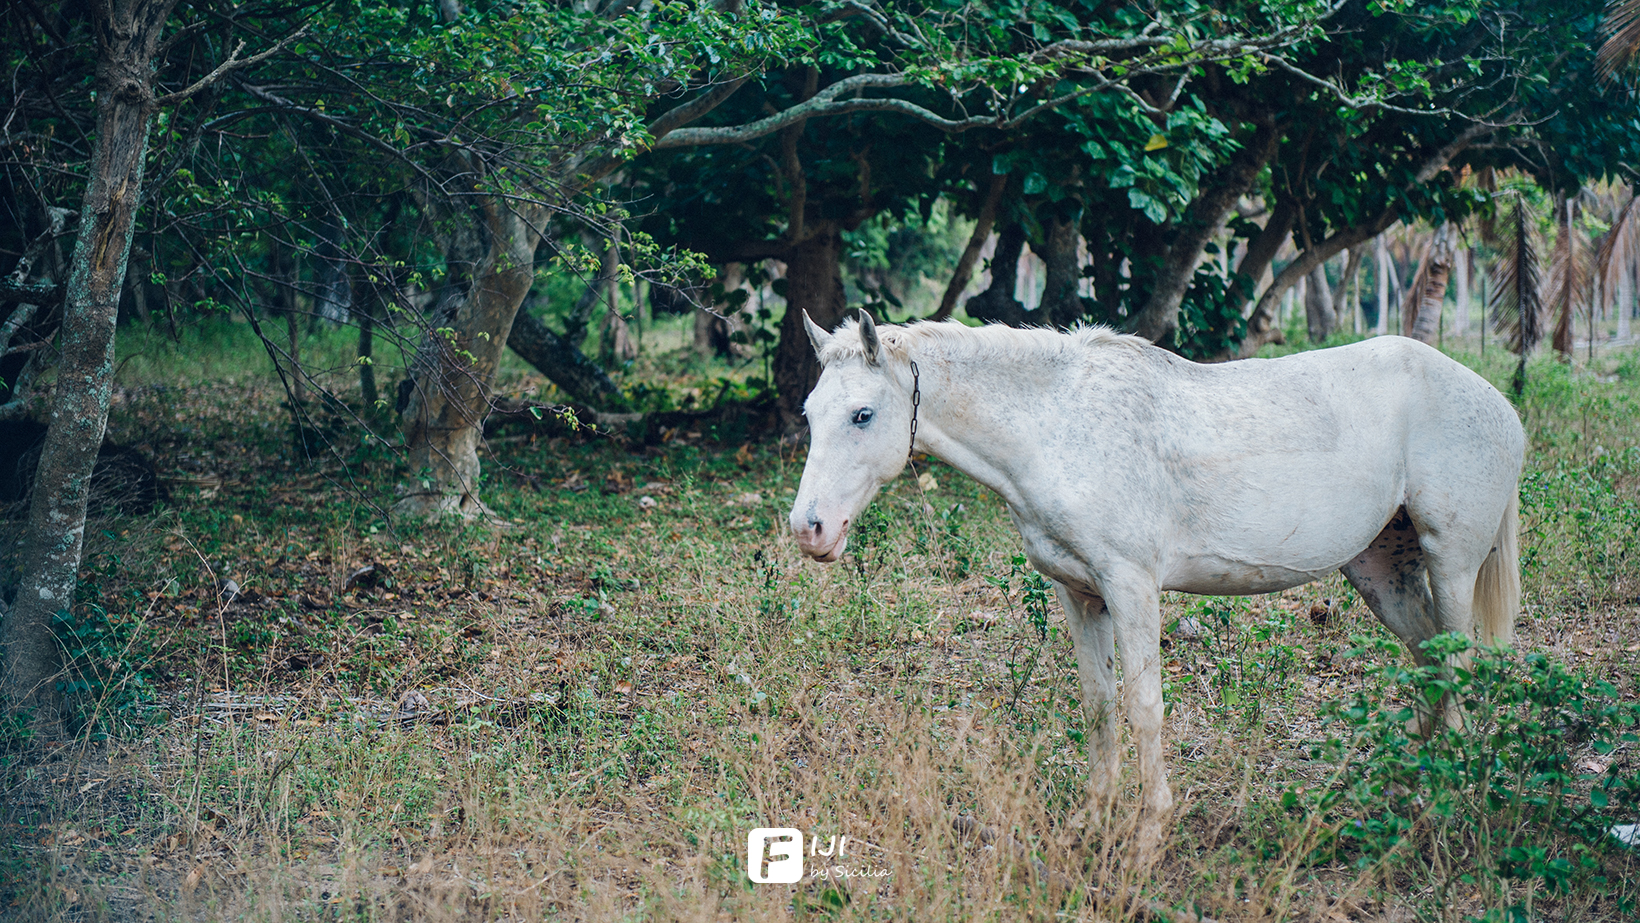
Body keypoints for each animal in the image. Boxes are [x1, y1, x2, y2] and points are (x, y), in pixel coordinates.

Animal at [787, 313, 1515, 845]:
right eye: (810, 412)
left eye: (862, 415)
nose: (809, 528)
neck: (1060, 427)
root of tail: (1498, 404)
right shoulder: (1080, 594)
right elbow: (1099, 703)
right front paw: (1091, 819)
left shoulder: (1132, 587)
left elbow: (1144, 707)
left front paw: (1146, 834)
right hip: (1381, 572)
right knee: (1430, 659)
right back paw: (1403, 785)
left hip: (1451, 565)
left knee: (1459, 662)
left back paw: (1445, 795)